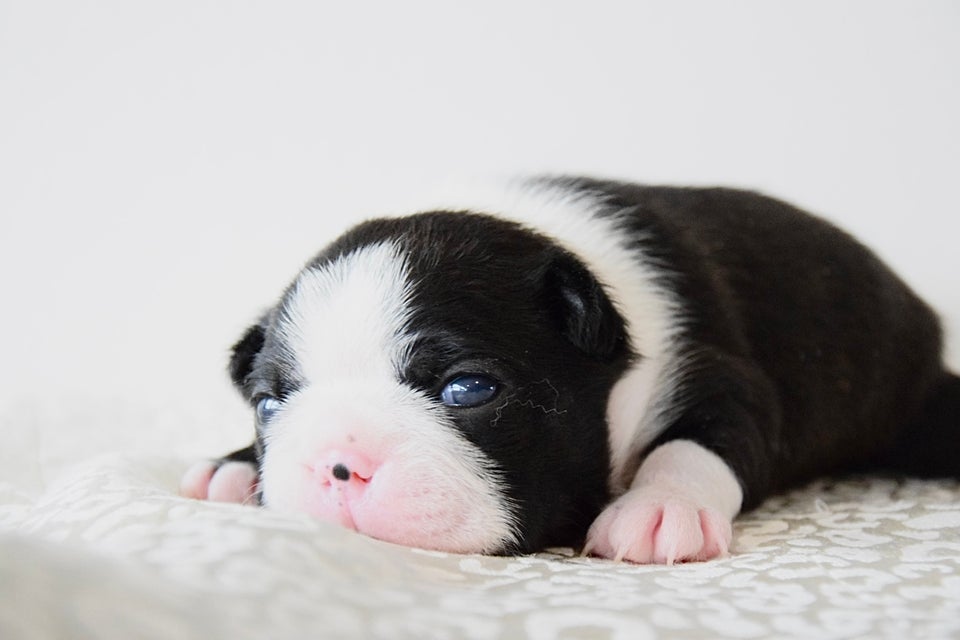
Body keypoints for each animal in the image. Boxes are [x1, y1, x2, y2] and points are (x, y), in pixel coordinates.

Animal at [182, 178, 960, 564]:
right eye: (268, 406)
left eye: (468, 389)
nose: (337, 466)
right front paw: (230, 466)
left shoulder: (716, 370)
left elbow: (701, 442)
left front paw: (660, 506)